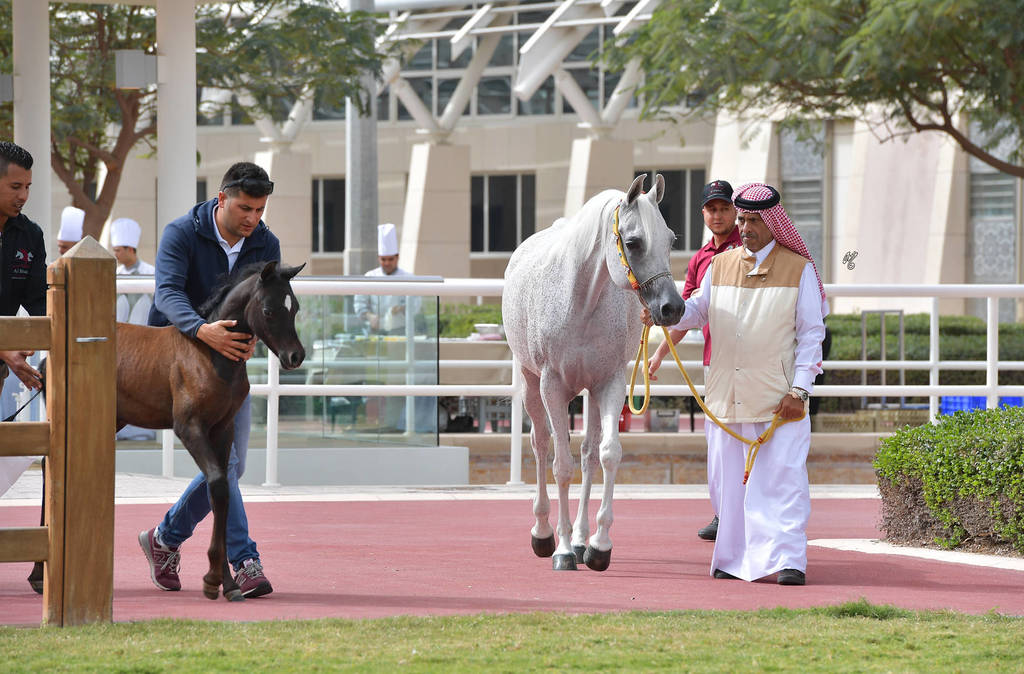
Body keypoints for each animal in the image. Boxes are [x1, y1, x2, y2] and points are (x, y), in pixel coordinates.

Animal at [503, 173, 685, 571]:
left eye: (671, 239)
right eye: (633, 242)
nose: (673, 308)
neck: (581, 300)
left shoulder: (609, 383)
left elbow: (607, 454)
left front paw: (599, 545)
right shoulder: (552, 386)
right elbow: (561, 465)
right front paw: (562, 549)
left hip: (589, 392)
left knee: (588, 453)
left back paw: (582, 539)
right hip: (530, 383)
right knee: (541, 445)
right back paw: (543, 533)